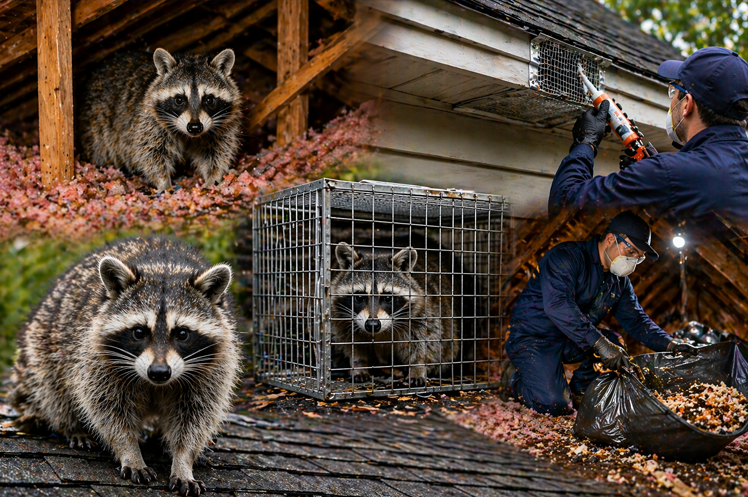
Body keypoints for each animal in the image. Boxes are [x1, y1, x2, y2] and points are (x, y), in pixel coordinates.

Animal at [9, 237, 240, 496]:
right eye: (139, 332)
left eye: (182, 334)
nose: (159, 373)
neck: (164, 268)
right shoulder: (95, 356)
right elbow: (108, 409)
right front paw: (130, 451)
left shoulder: (215, 365)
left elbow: (196, 416)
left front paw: (183, 460)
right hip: (44, 343)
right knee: (51, 388)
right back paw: (70, 426)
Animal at [80, 48, 242, 191]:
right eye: (179, 100)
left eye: (209, 100)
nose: (195, 127)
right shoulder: (147, 122)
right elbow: (150, 153)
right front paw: (163, 183)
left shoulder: (224, 125)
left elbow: (218, 151)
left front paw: (213, 178)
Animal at [330, 243, 458, 387]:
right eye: (359, 297)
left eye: (387, 298)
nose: (372, 324)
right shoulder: (341, 319)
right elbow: (352, 344)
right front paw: (358, 364)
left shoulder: (422, 313)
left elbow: (426, 341)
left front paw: (418, 367)